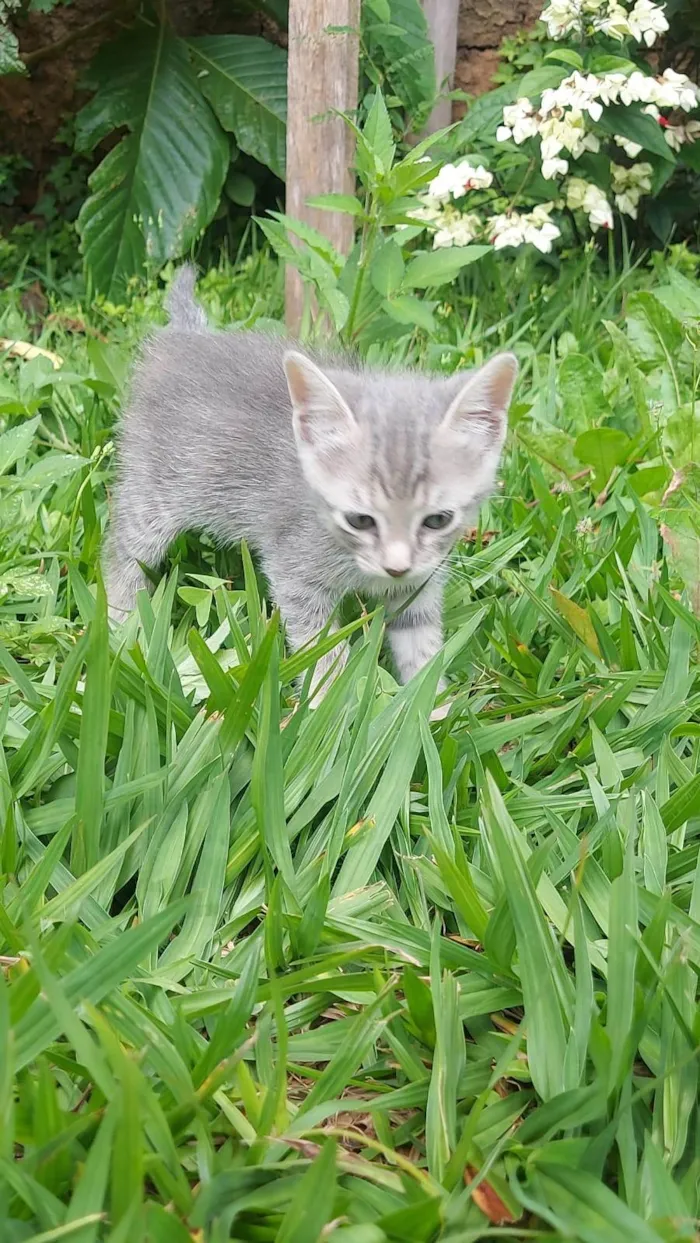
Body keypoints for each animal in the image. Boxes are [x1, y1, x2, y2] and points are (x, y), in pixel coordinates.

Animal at [105, 267, 519, 706]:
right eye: (360, 520)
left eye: (437, 520)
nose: (395, 567)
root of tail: (186, 337)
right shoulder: (295, 572)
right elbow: (321, 654)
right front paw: (332, 709)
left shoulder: (418, 584)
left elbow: (420, 645)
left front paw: (433, 709)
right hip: (153, 494)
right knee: (122, 553)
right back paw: (117, 625)